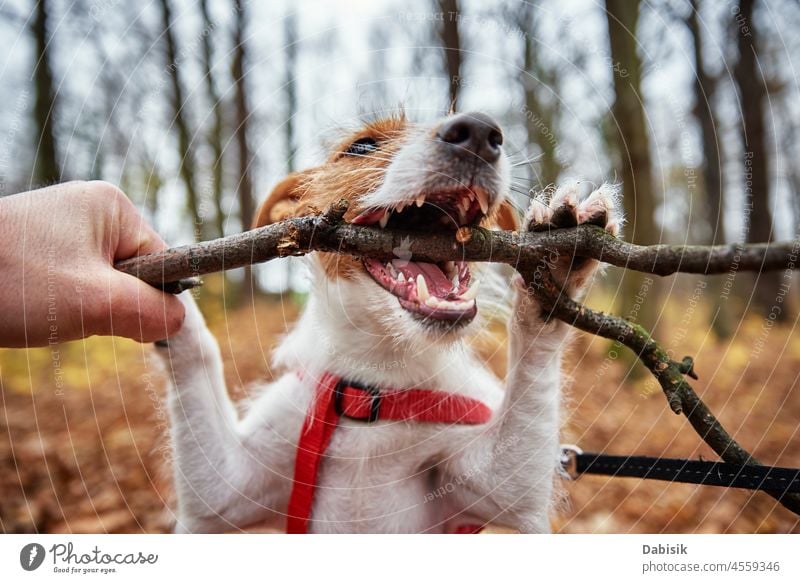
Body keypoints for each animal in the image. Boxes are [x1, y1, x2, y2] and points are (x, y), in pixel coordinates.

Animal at [156, 109, 620, 532]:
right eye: (361, 147)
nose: (479, 131)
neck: (375, 382)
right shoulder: (226, 490)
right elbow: (196, 351)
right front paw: (157, 273)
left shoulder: (498, 485)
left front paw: (558, 256)